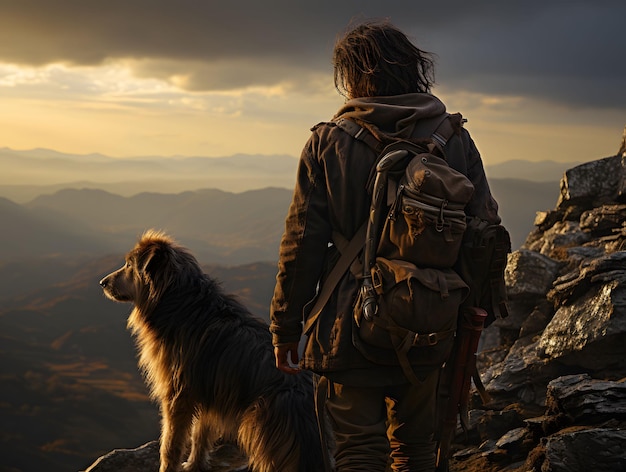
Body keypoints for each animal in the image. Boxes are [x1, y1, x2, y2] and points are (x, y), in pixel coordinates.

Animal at [99, 230, 324, 470]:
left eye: (129, 265)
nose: (102, 283)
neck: (178, 301)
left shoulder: (178, 394)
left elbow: (170, 444)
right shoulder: (209, 391)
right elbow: (201, 433)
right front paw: (195, 464)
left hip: (263, 429)